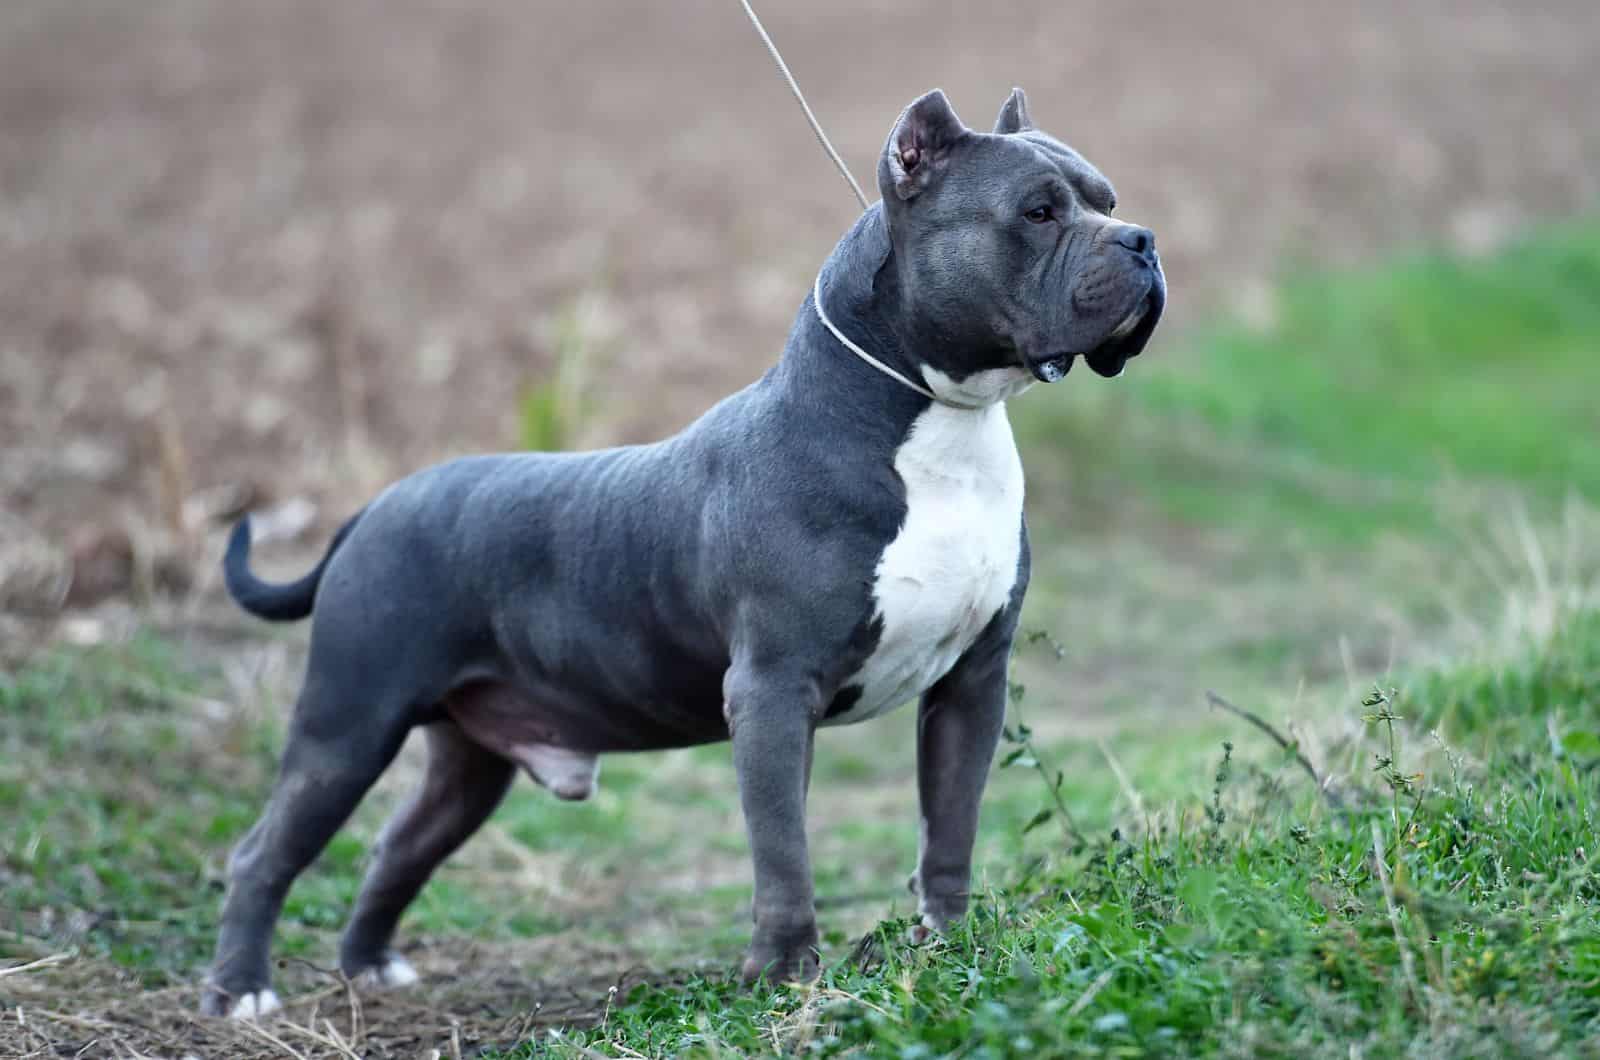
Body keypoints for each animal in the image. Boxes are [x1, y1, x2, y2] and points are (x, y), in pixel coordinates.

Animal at [206, 89, 1171, 1024]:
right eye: (1039, 211)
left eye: (1107, 199)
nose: (1143, 240)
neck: (937, 423)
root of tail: (373, 507)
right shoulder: (773, 693)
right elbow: (783, 853)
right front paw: (785, 979)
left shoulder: (971, 683)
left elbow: (950, 831)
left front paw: (948, 947)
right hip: (349, 723)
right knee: (263, 853)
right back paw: (240, 992)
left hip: (467, 764)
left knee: (399, 844)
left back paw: (370, 966)